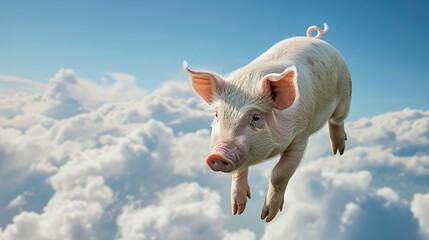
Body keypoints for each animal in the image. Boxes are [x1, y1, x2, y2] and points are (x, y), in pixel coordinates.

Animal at [182, 23, 350, 222]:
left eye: (256, 117)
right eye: (217, 114)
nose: (218, 155)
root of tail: (315, 38)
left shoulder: (301, 135)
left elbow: (279, 173)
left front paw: (267, 217)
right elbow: (239, 172)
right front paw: (237, 211)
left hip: (346, 91)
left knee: (337, 120)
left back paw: (338, 151)